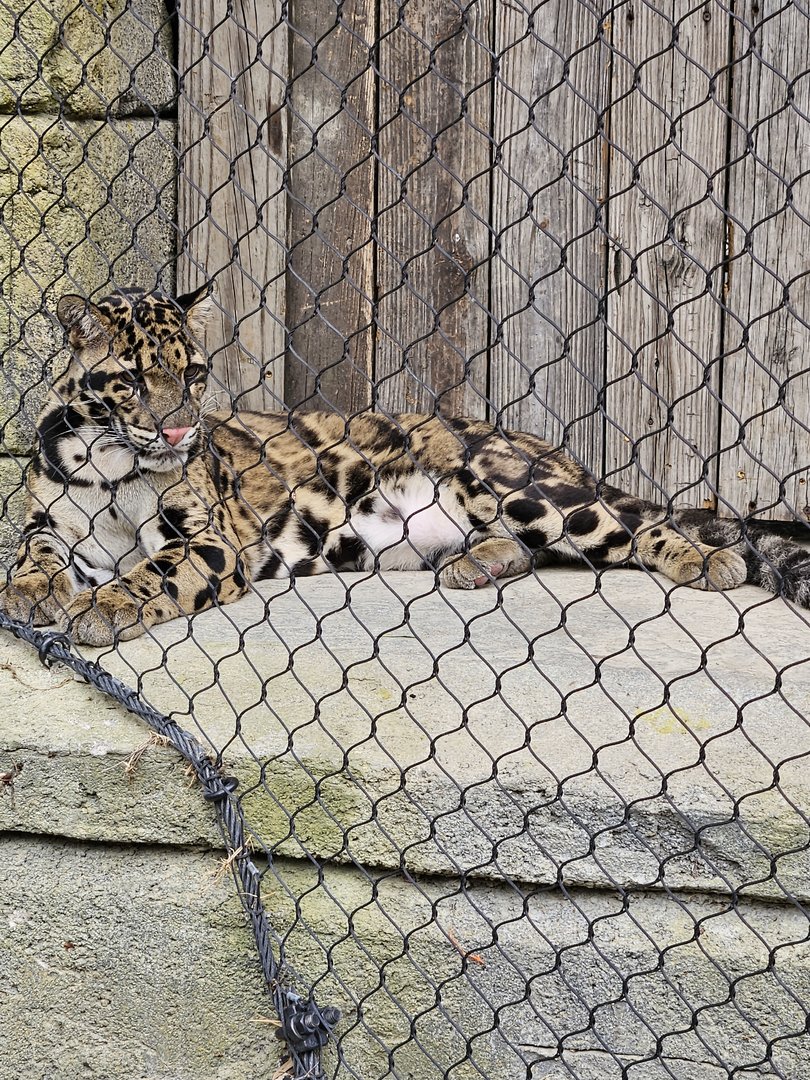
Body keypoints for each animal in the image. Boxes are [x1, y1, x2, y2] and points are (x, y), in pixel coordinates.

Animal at [1, 286, 809, 647]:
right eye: (133, 381)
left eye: (194, 374)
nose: (177, 427)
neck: (112, 462)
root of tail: (543, 446)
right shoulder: (49, 519)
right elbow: (34, 551)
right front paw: (30, 593)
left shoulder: (209, 540)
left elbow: (152, 570)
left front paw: (104, 606)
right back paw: (475, 566)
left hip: (512, 485)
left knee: (633, 526)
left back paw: (706, 562)